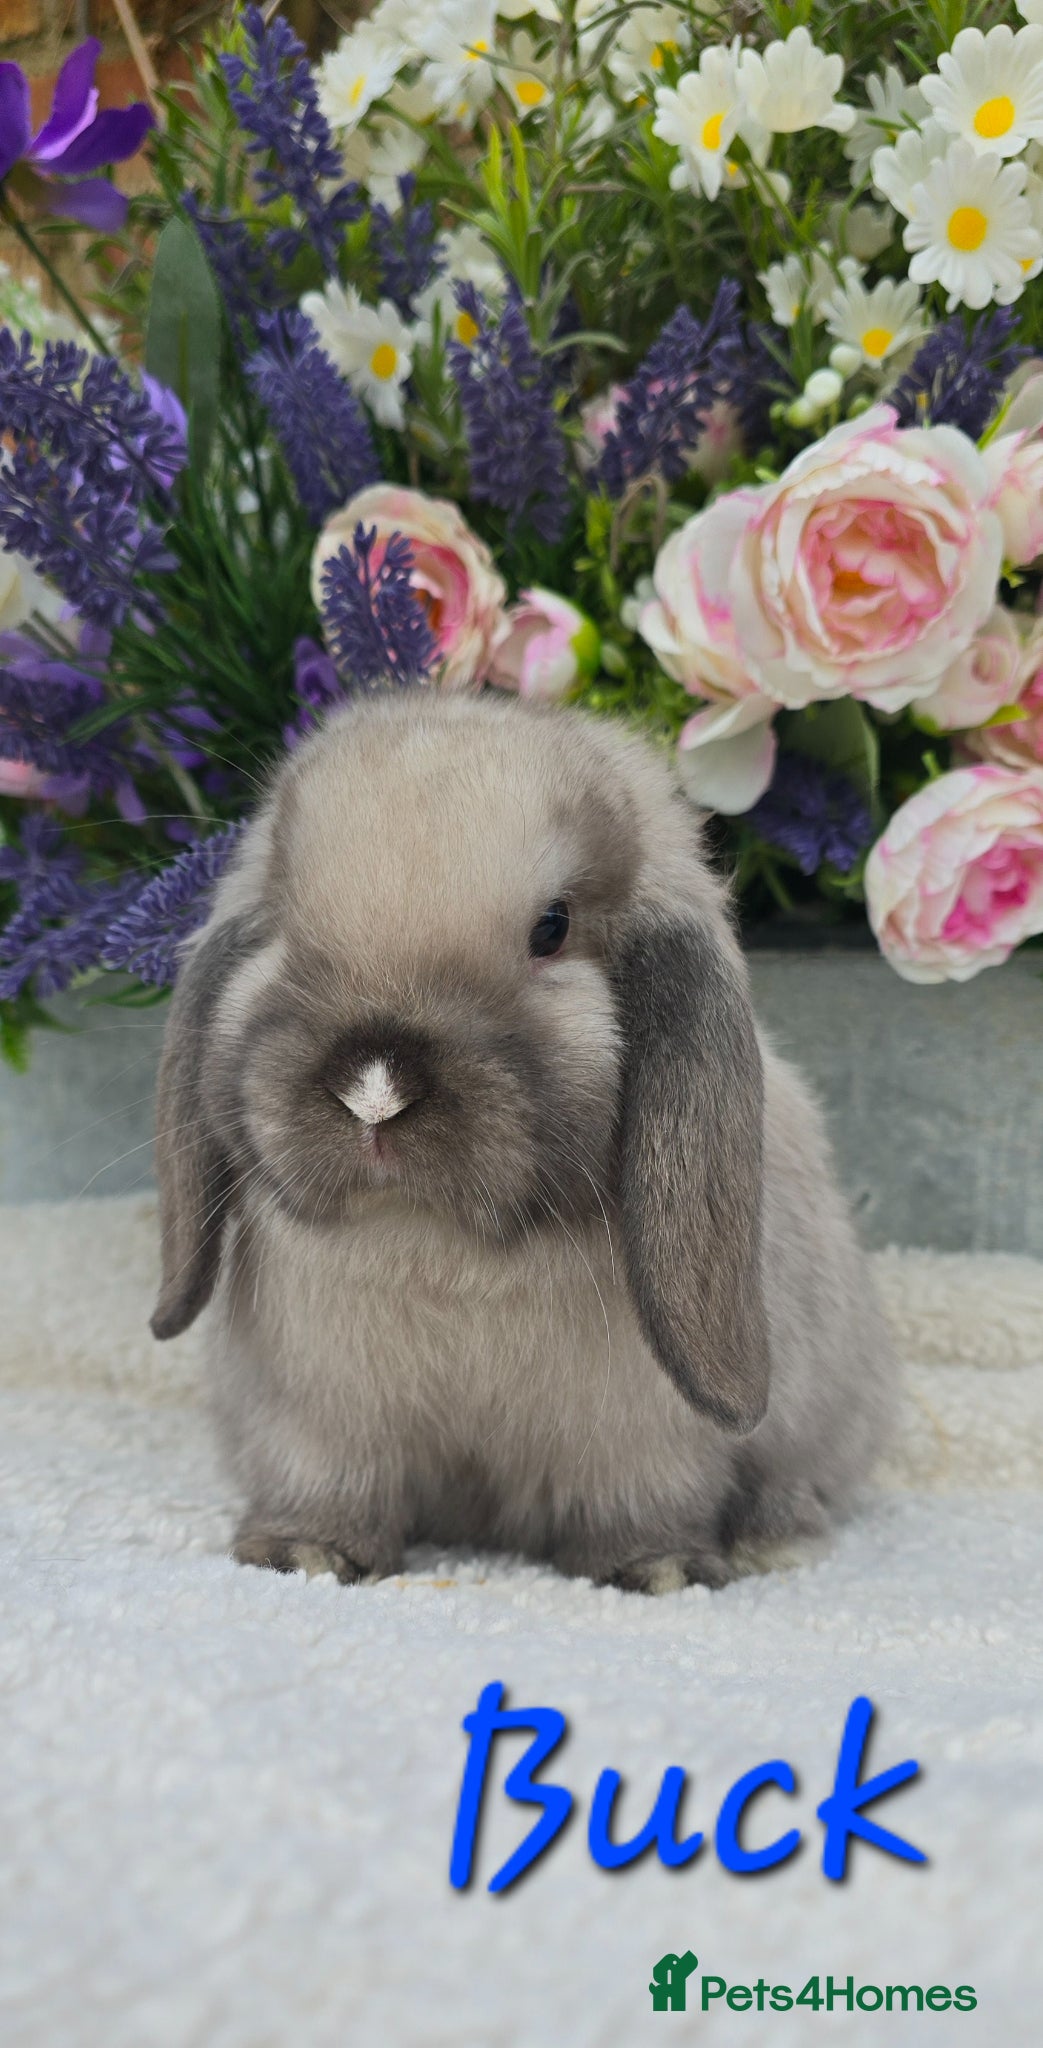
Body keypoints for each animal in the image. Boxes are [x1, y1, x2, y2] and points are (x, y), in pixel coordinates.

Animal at [150, 688, 895, 1594]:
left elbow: (641, 1502)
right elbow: (327, 1486)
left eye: (551, 928)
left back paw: (771, 1540)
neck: (438, 1244)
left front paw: (659, 1572)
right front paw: (301, 1555)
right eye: (285, 921)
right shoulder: (316, 1421)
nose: (373, 1092)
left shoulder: (644, 1440)